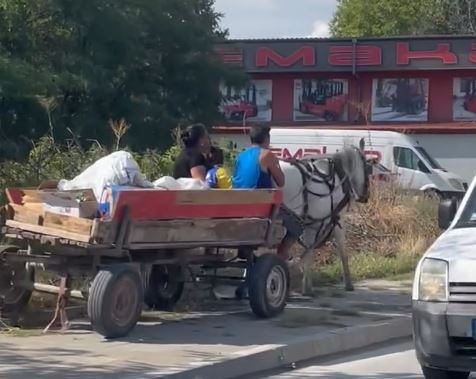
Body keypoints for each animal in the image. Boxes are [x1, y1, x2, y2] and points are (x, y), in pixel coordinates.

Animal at [280, 140, 370, 296]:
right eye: (366, 165)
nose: (366, 196)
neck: (340, 176)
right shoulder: (337, 220)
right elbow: (341, 250)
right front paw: (348, 284)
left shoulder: (311, 224)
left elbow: (309, 252)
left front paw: (307, 286)